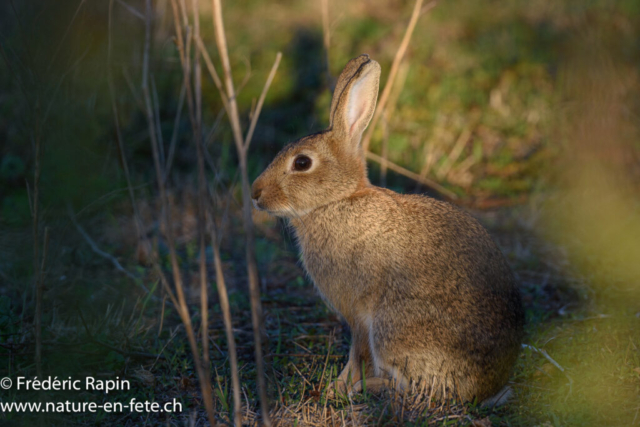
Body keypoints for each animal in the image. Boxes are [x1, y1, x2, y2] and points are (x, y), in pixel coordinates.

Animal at [251, 54, 525, 405]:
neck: (337, 201)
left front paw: (337, 388)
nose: (255, 193)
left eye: (301, 163)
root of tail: (484, 390)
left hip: (392, 328)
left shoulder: (357, 314)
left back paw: (368, 389)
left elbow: (357, 354)